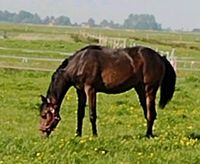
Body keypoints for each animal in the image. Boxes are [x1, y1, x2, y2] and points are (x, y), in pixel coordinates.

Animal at [39, 44, 176, 137]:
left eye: (44, 115)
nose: (42, 133)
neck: (79, 63)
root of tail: (160, 57)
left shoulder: (90, 89)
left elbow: (92, 114)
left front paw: (95, 135)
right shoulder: (81, 91)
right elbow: (80, 114)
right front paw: (78, 134)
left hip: (150, 90)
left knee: (151, 113)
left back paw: (148, 135)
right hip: (140, 90)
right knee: (149, 113)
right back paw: (148, 134)